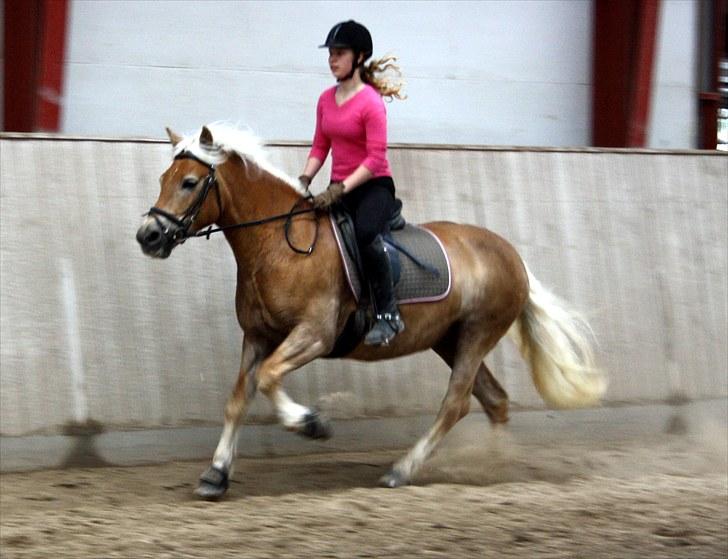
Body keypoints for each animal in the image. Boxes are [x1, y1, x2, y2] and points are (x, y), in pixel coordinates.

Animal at [136, 124, 608, 500]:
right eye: (163, 178)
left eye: (189, 182)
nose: (148, 235)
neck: (277, 245)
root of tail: (512, 256)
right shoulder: (257, 337)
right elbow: (238, 400)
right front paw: (215, 475)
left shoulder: (314, 334)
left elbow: (269, 378)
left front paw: (311, 423)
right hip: (449, 340)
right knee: (493, 400)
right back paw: (493, 464)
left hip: (477, 333)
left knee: (456, 403)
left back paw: (402, 470)